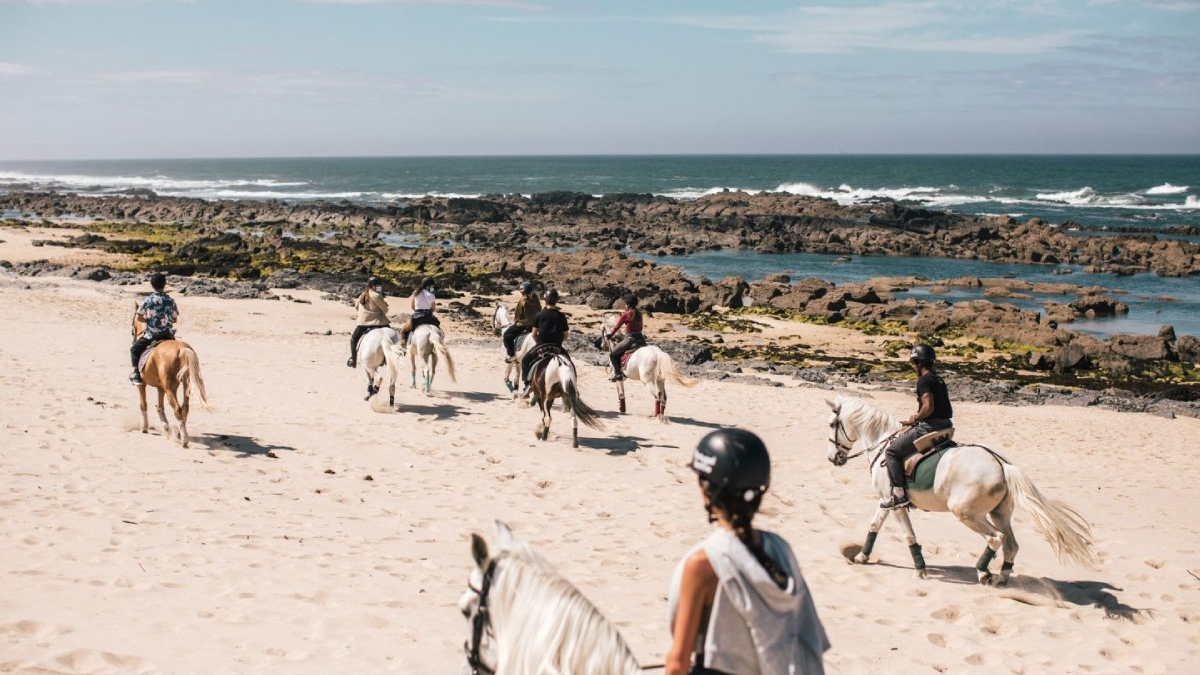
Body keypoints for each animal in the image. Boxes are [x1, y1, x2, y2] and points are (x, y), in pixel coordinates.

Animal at [132, 309, 211, 446]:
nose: (133, 334)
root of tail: (181, 348)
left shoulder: (142, 385)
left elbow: (143, 404)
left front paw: (144, 428)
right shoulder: (160, 388)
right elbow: (160, 407)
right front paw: (166, 428)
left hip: (170, 388)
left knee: (178, 409)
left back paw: (184, 440)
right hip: (185, 385)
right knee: (185, 408)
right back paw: (182, 434)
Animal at [825, 393, 1099, 583]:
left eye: (832, 425)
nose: (833, 459)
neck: (883, 443)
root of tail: (1001, 465)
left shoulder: (896, 505)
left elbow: (909, 536)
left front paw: (920, 570)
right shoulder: (886, 500)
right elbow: (874, 526)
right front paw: (861, 557)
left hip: (966, 514)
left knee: (995, 538)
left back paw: (983, 572)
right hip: (999, 514)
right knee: (1011, 544)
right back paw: (1001, 579)